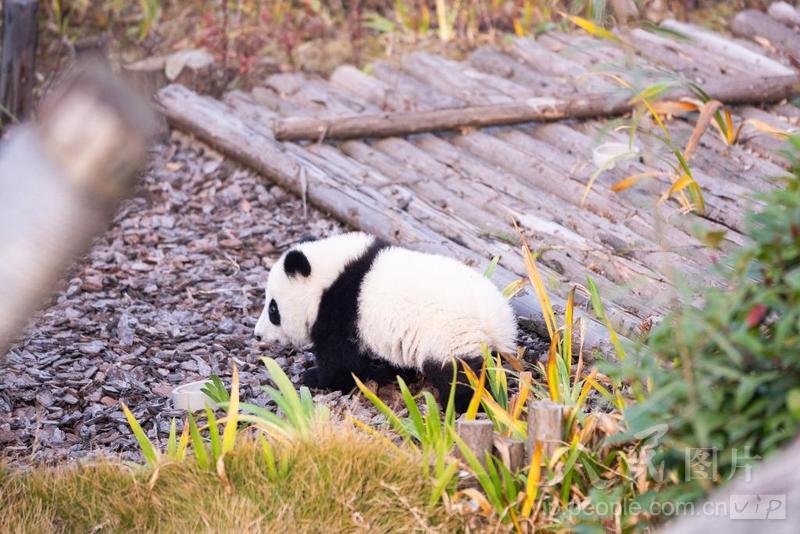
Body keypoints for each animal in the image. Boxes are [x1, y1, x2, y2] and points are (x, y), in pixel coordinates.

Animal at [253, 232, 518, 412]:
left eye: (273, 309)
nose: (258, 335)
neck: (330, 278)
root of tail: (498, 322)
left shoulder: (342, 311)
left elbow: (340, 362)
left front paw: (314, 378)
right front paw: (384, 373)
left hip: (452, 336)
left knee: (459, 374)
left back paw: (461, 405)